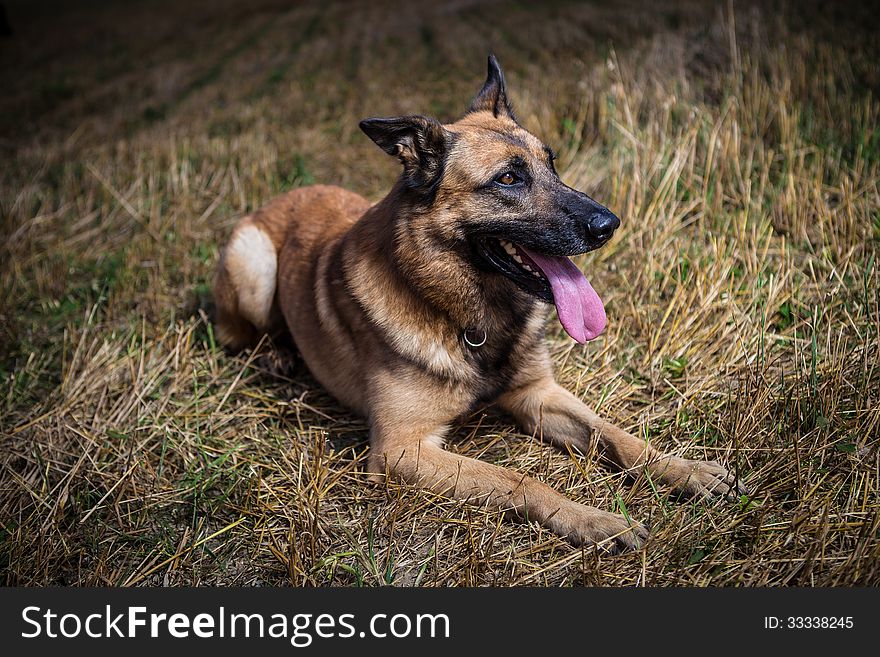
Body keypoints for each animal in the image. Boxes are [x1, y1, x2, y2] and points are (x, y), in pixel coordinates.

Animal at [215, 56, 744, 552]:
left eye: (552, 163)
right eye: (508, 178)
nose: (608, 225)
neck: (468, 314)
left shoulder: (538, 395)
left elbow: (613, 433)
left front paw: (683, 468)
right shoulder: (401, 450)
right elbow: (517, 478)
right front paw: (595, 520)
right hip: (254, 263)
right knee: (238, 335)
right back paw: (276, 355)